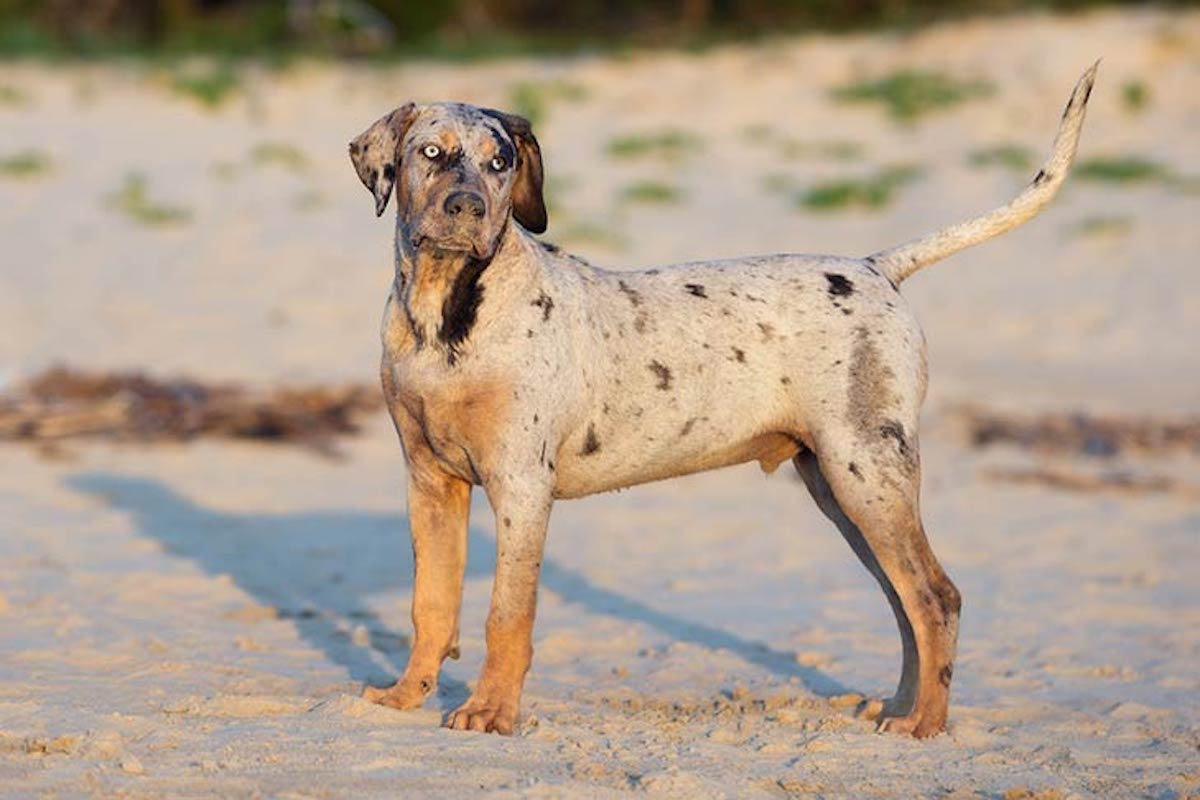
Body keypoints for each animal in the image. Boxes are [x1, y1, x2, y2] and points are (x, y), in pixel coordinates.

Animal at [348, 64, 1099, 738]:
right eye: (432, 154)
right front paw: (406, 696)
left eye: (499, 162)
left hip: (868, 476)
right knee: (904, 600)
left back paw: (927, 725)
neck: (446, 314)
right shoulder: (430, 484)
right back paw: (901, 707)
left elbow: (507, 615)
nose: (468, 209)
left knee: (936, 597)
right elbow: (430, 605)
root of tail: (876, 268)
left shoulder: (522, 488)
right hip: (842, 489)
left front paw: (491, 715)